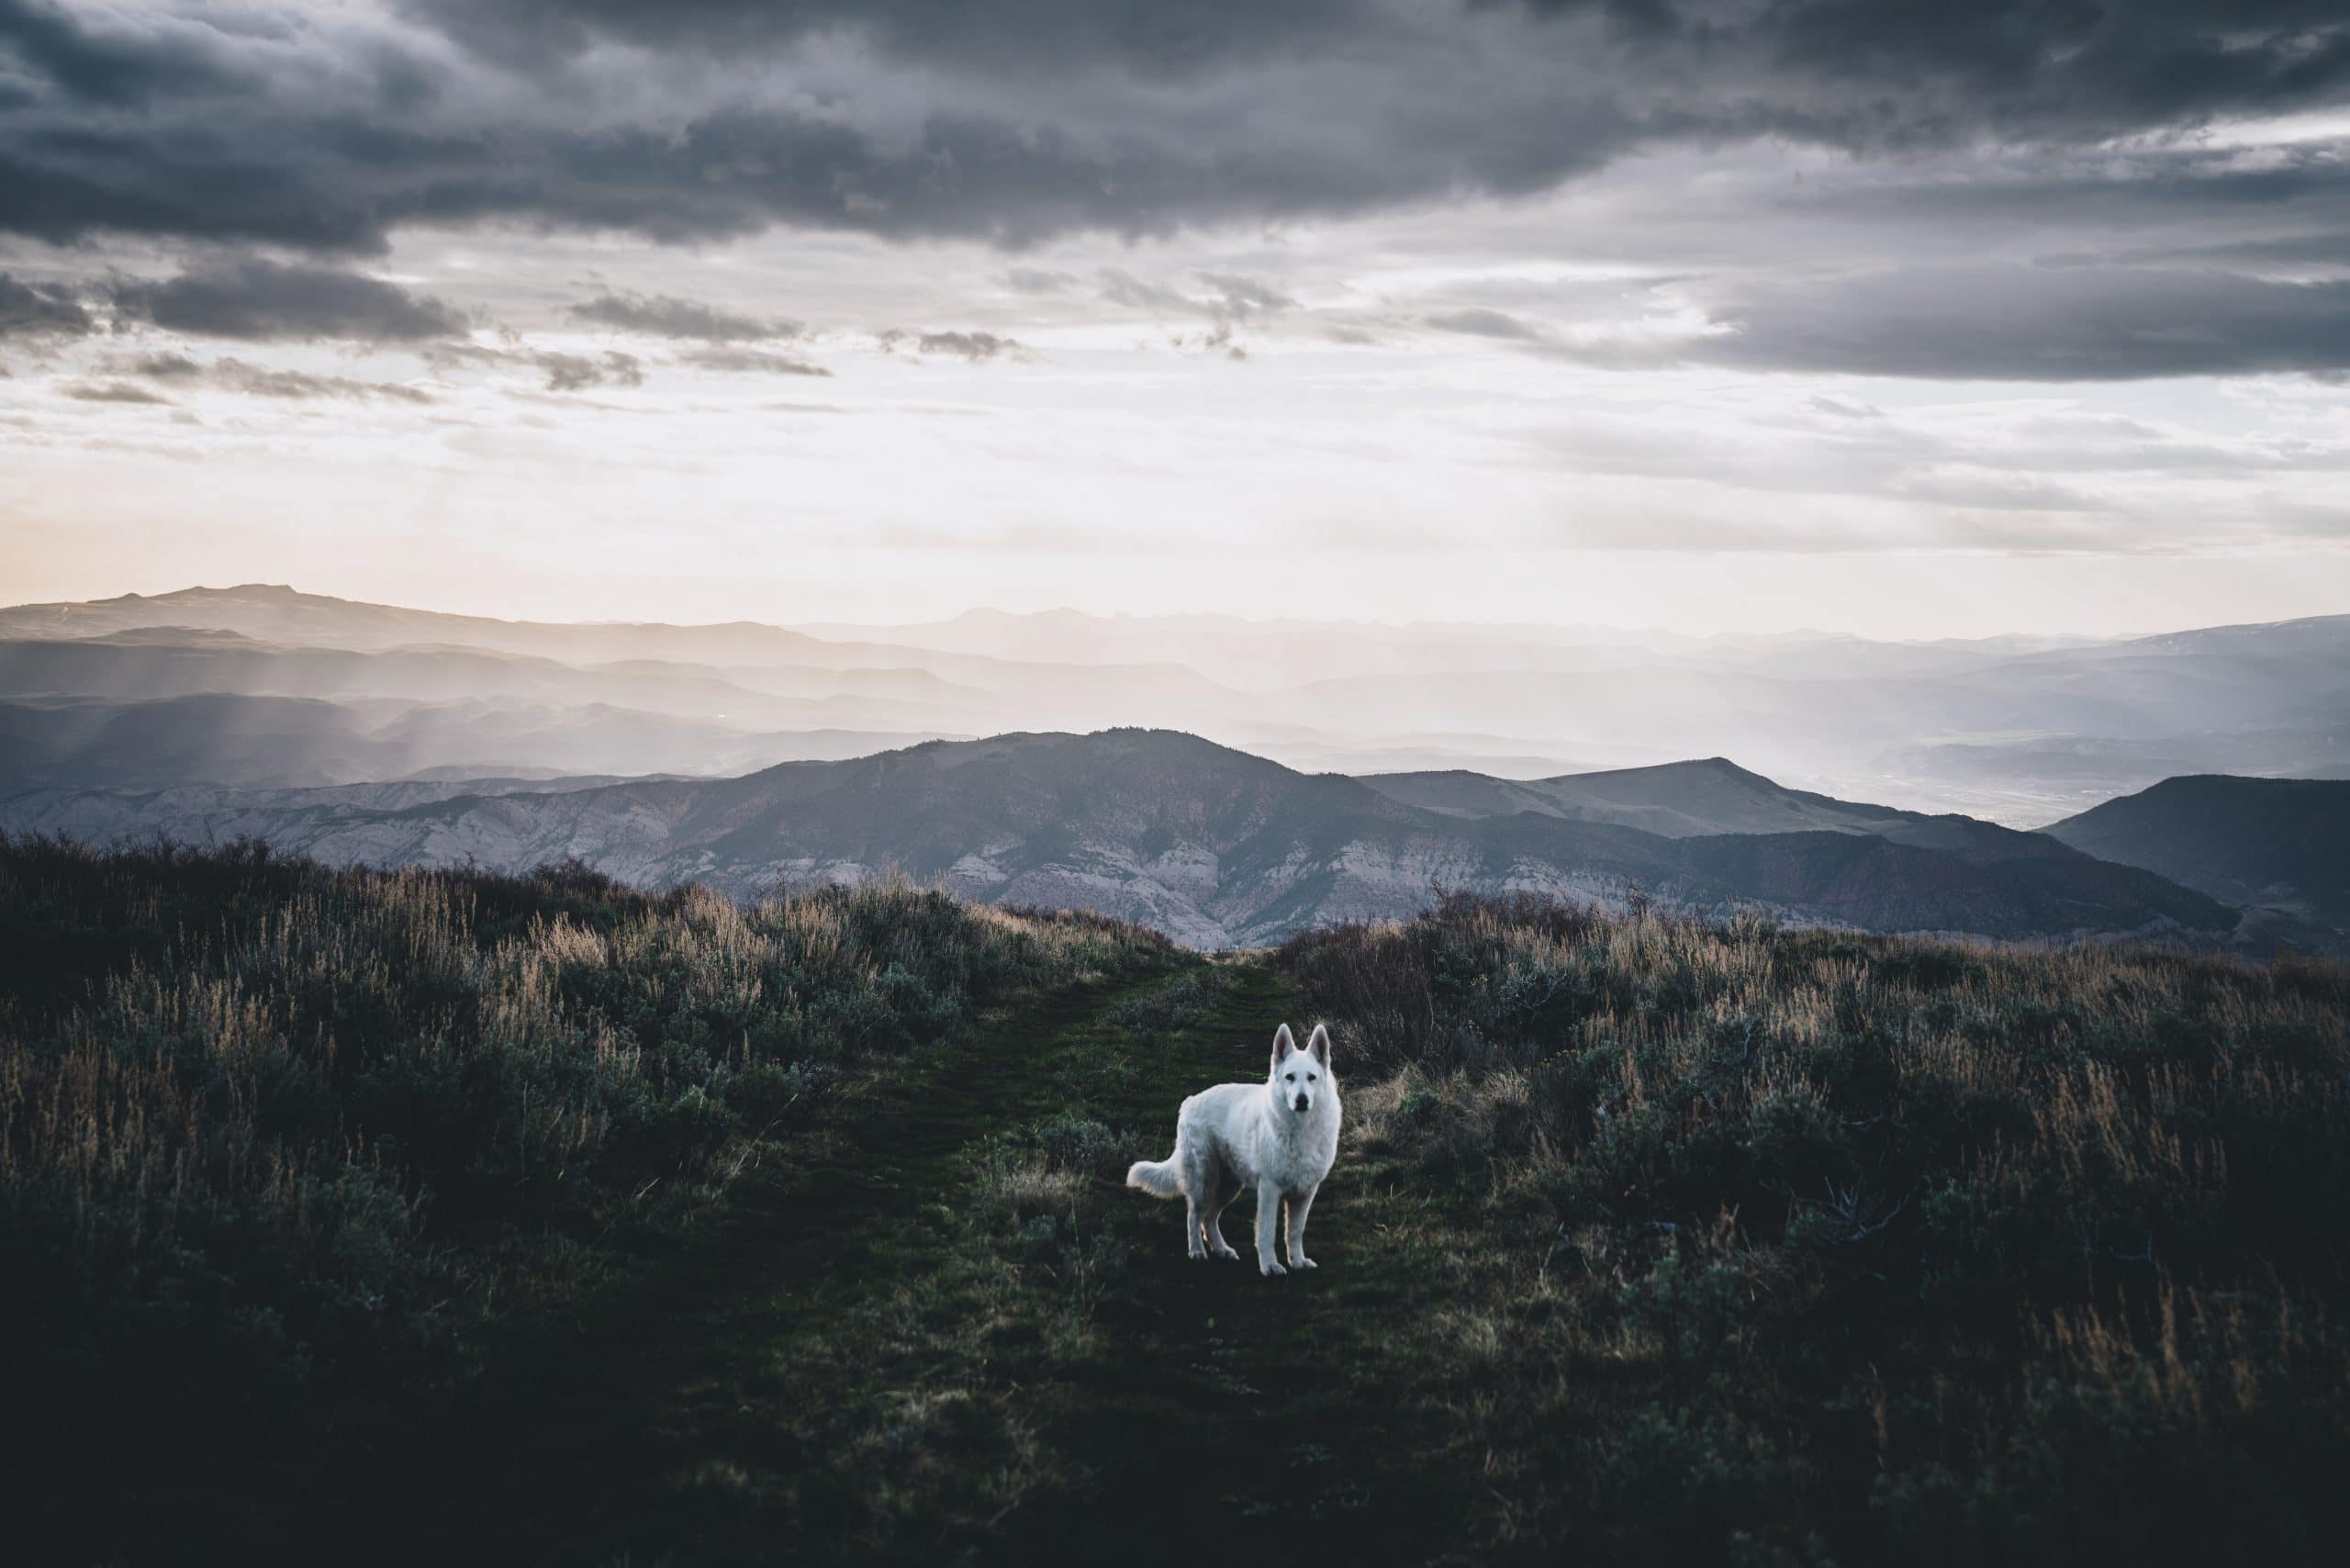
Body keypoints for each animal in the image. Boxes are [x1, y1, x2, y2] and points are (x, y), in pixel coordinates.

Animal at [1126, 1022, 1340, 1276]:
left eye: (1311, 1078)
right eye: (1290, 1077)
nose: (1302, 1100)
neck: (1300, 1129)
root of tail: (1190, 1101)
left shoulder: (1305, 1193)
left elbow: (1295, 1232)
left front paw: (1297, 1261)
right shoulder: (1270, 1189)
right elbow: (1266, 1233)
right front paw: (1269, 1266)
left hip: (1228, 1186)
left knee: (1209, 1219)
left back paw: (1222, 1250)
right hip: (1203, 1182)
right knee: (1193, 1216)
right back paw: (1197, 1252)